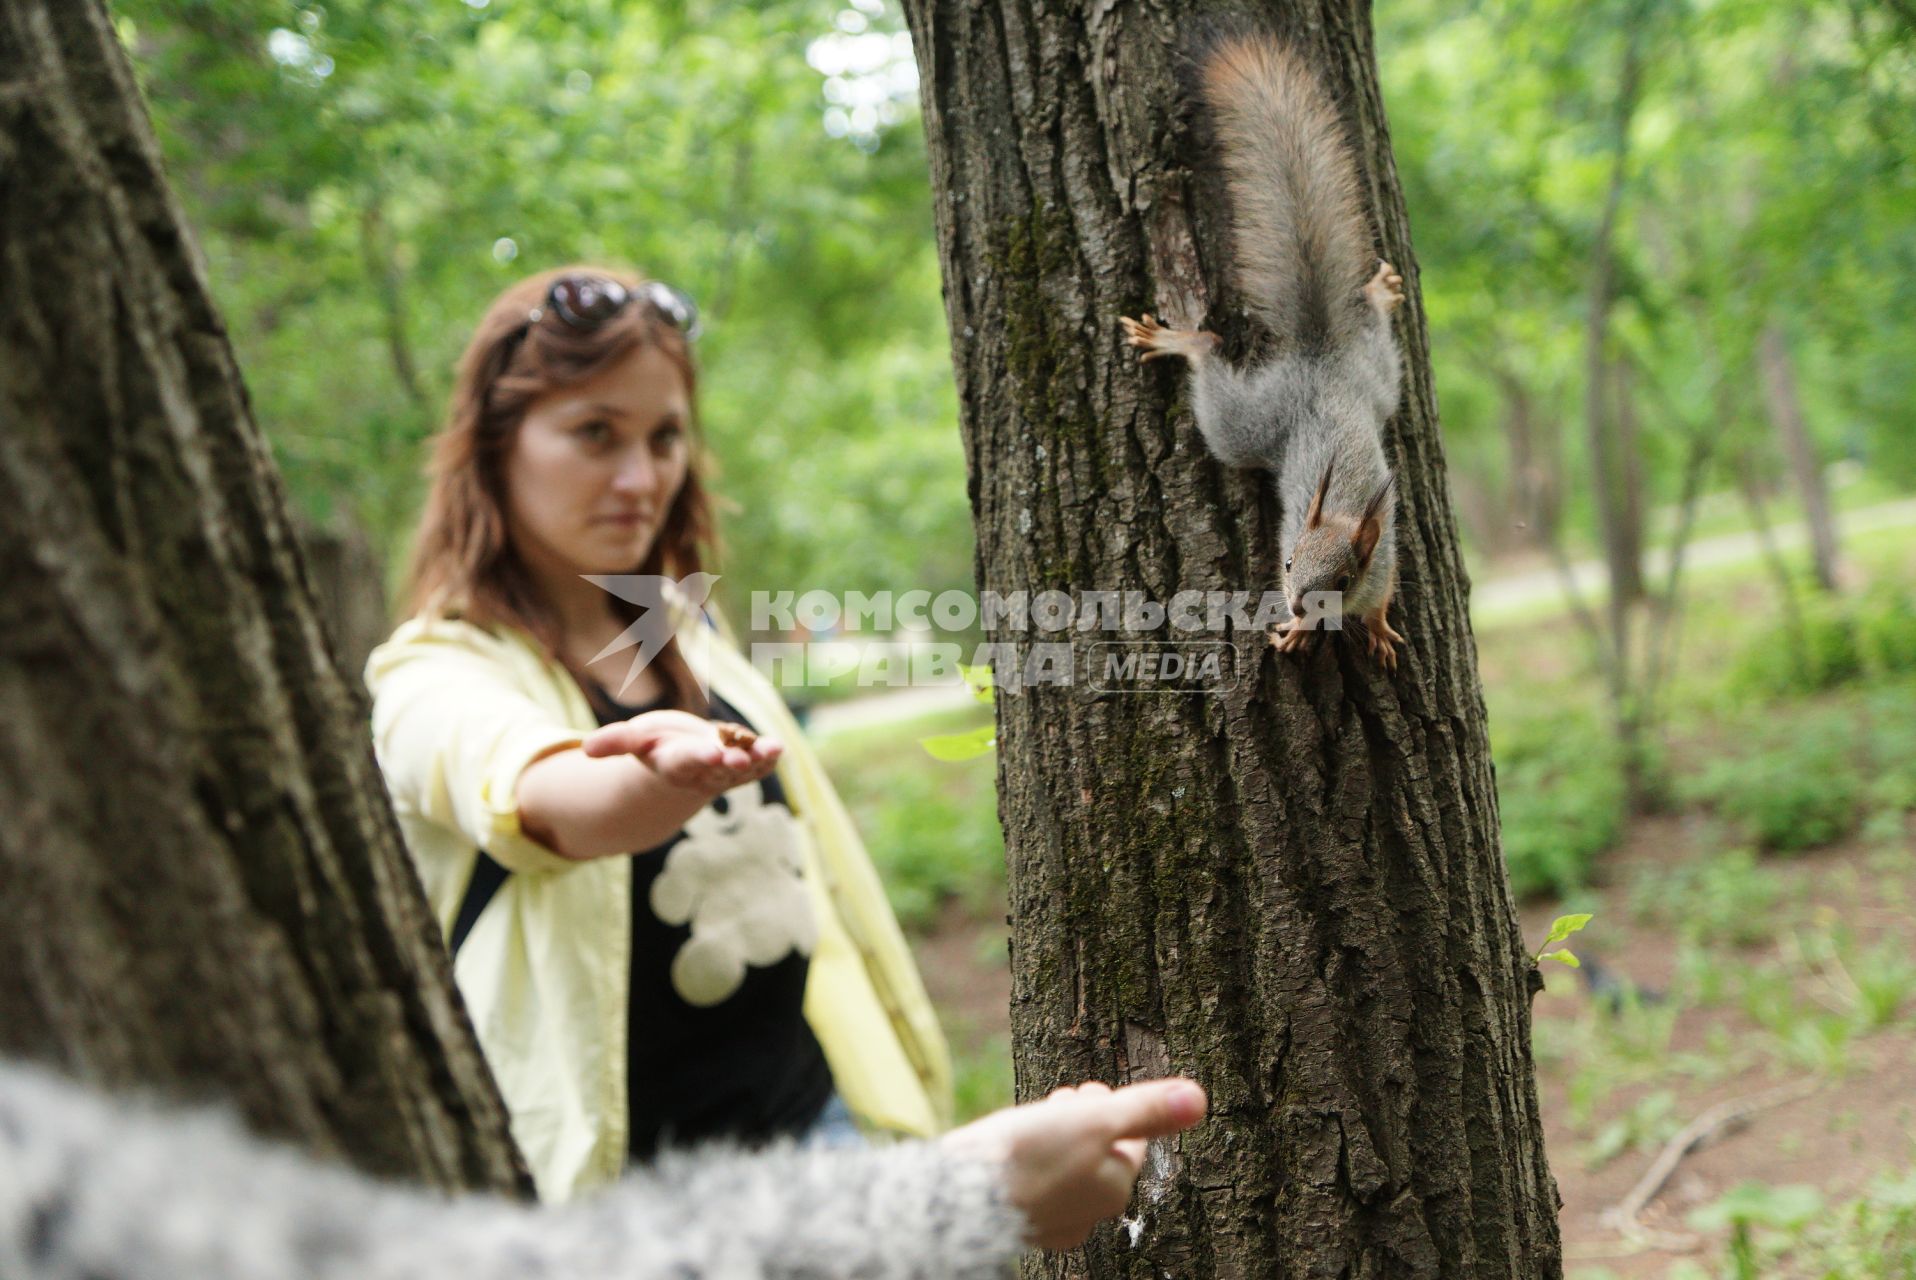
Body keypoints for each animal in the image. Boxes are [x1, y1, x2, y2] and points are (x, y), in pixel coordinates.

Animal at [1118, 32, 1410, 670]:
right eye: (1288, 561)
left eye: (1343, 581)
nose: (1299, 605)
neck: (1344, 511)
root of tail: (1320, 362)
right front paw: (1299, 632)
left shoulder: (1384, 559)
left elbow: (1384, 593)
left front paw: (1375, 626)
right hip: (1250, 425)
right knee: (1208, 349)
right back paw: (1179, 339)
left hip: (1374, 379)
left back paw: (1376, 294)